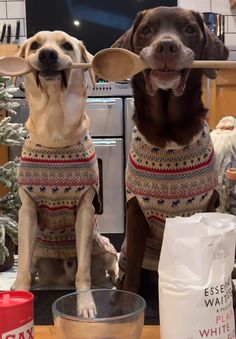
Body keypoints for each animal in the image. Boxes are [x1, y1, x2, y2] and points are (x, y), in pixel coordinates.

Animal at [9, 31, 118, 318]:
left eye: (67, 45)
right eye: (35, 45)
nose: (47, 54)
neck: (55, 127)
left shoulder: (85, 209)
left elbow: (84, 272)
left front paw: (86, 304)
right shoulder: (27, 211)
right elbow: (22, 268)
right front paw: (20, 294)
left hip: (105, 247)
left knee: (109, 264)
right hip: (38, 253)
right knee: (30, 266)